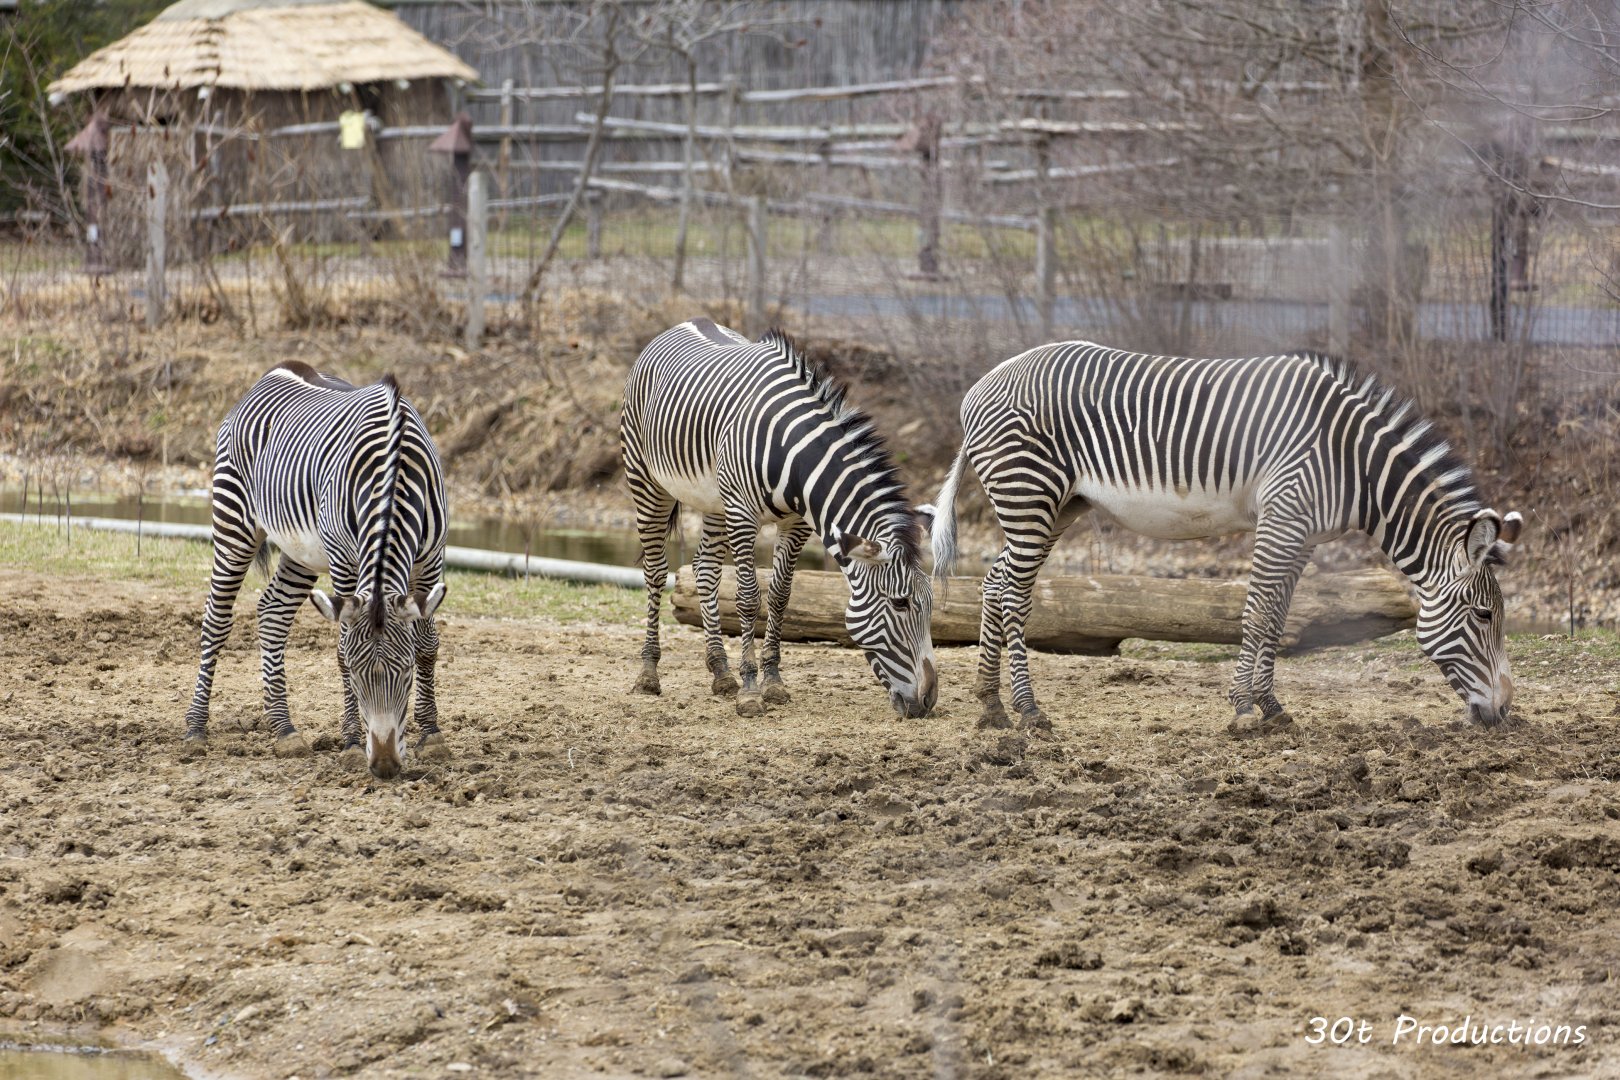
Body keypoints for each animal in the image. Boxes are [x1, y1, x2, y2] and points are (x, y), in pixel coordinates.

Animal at [182, 362, 450, 779]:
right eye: (355, 675)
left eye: (406, 673)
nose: (384, 766)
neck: (393, 471)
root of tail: (274, 372)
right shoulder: (343, 560)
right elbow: (340, 649)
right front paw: (352, 743)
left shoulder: (431, 558)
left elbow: (427, 644)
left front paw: (432, 734)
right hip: (233, 523)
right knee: (216, 619)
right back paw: (196, 728)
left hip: (302, 552)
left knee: (272, 612)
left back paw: (285, 730)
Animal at [621, 318, 937, 718]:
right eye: (900, 603)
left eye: (930, 603)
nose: (929, 700)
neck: (796, 458)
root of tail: (684, 323)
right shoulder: (742, 515)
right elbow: (747, 598)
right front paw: (750, 690)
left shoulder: (795, 524)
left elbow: (780, 597)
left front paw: (772, 682)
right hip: (645, 480)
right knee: (656, 572)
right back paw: (649, 673)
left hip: (714, 501)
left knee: (705, 570)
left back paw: (721, 673)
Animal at [931, 341, 1521, 733]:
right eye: (1484, 615)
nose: (1503, 711)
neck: (1352, 464)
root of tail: (980, 386)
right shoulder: (1282, 518)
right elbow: (1258, 612)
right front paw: (1241, 707)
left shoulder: (1302, 534)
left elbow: (1280, 616)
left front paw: (1272, 707)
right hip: (1028, 493)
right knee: (1014, 594)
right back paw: (1028, 709)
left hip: (1058, 506)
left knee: (993, 581)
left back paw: (990, 704)